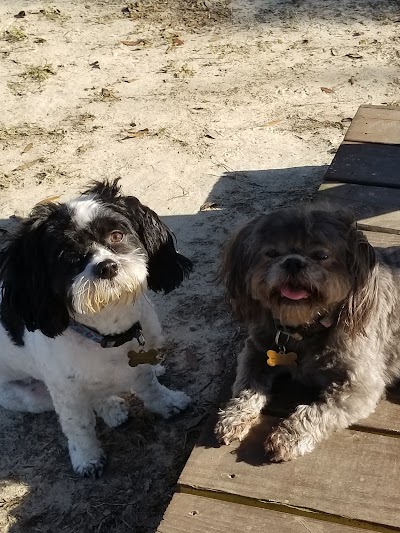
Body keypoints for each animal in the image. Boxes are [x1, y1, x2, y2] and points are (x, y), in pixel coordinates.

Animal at [0, 180, 192, 478]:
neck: (109, 335)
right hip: (30, 396)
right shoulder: (66, 392)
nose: (107, 266)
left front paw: (166, 402)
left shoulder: (140, 359)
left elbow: (149, 384)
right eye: (68, 255)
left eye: (116, 235)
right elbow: (78, 425)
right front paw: (87, 458)